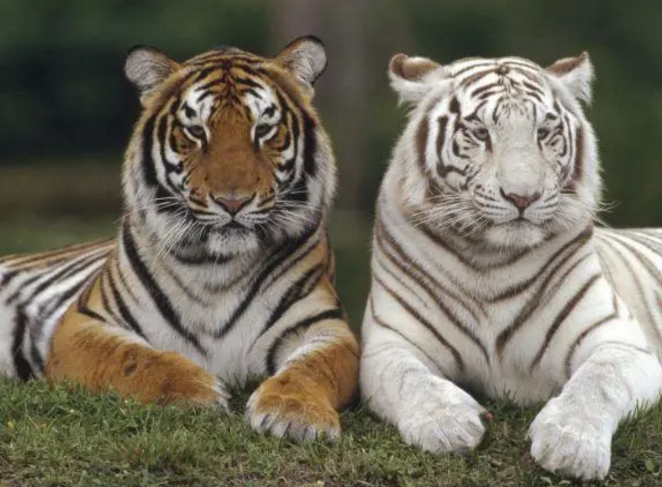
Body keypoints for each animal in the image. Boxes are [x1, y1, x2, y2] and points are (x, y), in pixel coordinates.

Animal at [0, 36, 359, 442]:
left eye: (264, 129)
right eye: (197, 131)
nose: (232, 201)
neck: (217, 267)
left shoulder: (325, 328)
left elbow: (312, 368)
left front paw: (296, 414)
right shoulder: (84, 324)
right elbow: (134, 359)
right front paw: (196, 391)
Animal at [360, 51, 662, 480]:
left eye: (544, 133)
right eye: (480, 133)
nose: (523, 197)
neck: (491, 260)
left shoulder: (620, 341)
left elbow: (597, 381)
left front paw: (571, 445)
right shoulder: (389, 343)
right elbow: (409, 378)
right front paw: (447, 424)